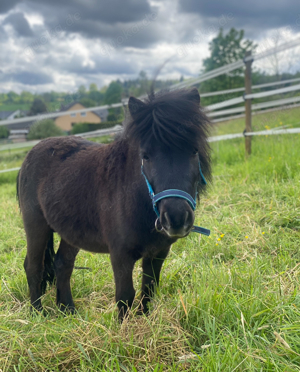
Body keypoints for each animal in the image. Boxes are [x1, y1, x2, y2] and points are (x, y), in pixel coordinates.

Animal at [17, 88, 211, 322]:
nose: (176, 218)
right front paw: (124, 329)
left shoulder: (157, 253)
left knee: (62, 264)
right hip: (36, 226)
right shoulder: (120, 255)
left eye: (194, 151)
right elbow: (125, 296)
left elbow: (149, 290)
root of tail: (30, 156)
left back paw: (68, 311)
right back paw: (37, 313)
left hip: (70, 232)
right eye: (146, 156)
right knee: (33, 266)